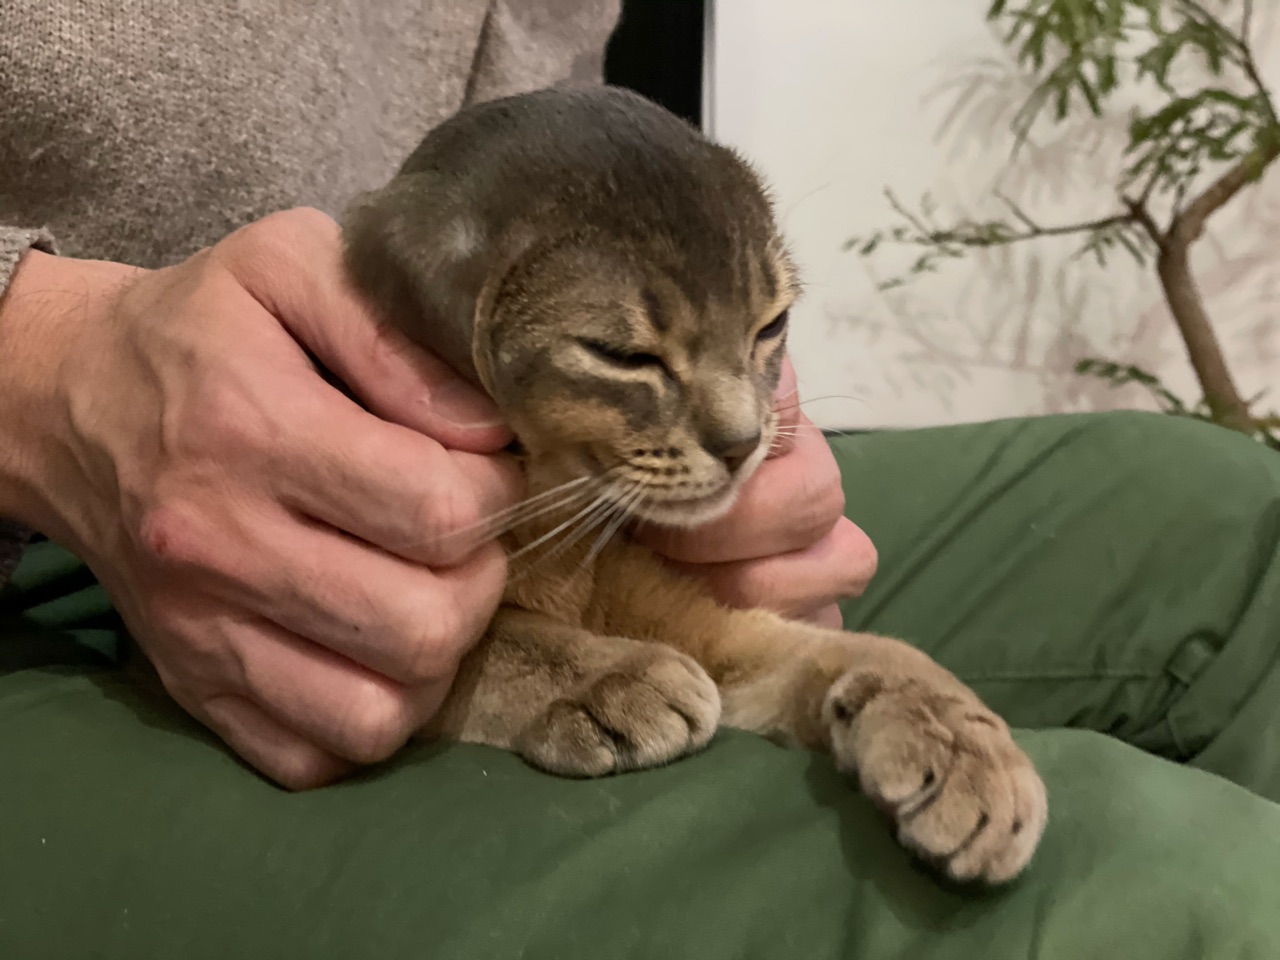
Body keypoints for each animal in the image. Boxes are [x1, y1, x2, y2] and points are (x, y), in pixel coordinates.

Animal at [340, 85, 1047, 885]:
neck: (562, 534)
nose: (743, 444)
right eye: (621, 355)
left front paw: (962, 741)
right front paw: (606, 677)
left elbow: (867, 650)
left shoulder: (717, 632)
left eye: (772, 324)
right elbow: (483, 638)